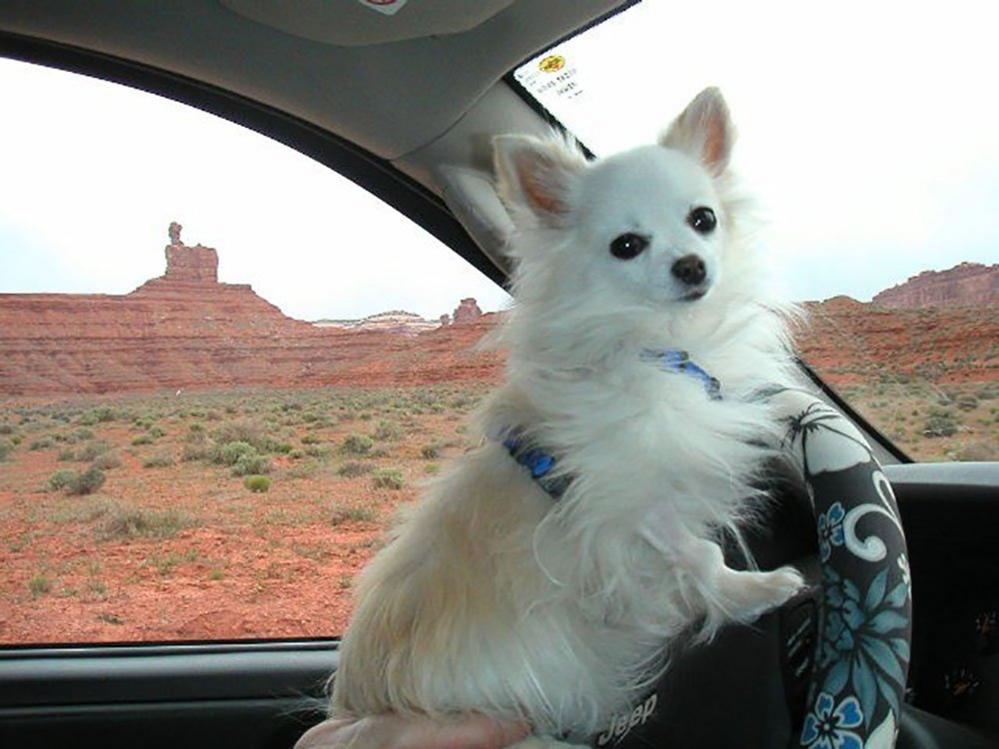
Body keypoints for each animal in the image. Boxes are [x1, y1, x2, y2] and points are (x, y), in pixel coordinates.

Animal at [332, 87, 808, 744]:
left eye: (703, 219)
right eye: (626, 246)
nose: (691, 266)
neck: (665, 348)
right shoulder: (632, 500)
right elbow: (699, 555)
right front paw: (749, 592)